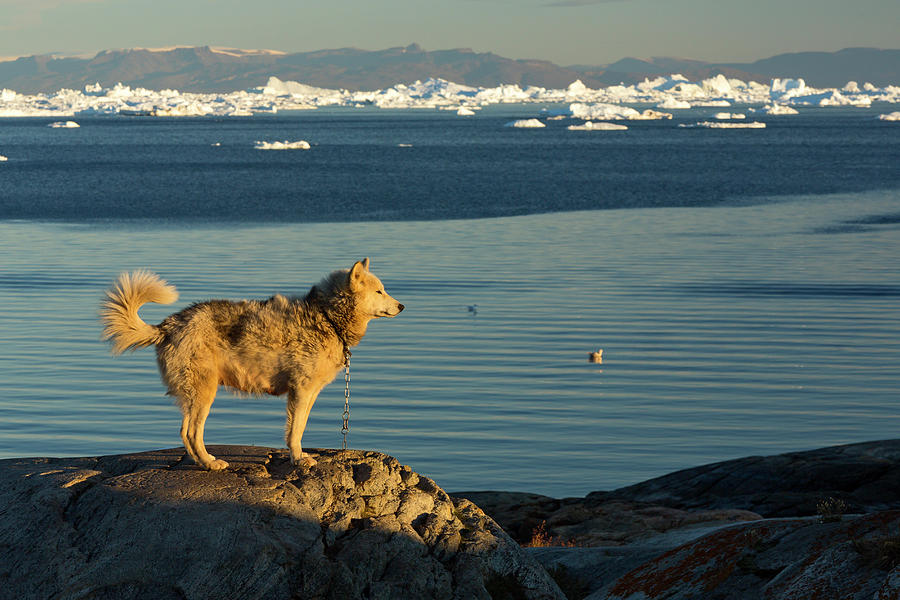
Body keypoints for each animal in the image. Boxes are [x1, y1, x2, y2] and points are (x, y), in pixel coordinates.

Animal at [99, 260, 404, 472]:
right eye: (380, 291)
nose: (401, 306)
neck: (327, 317)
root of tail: (168, 325)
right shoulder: (301, 391)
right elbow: (296, 431)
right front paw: (298, 459)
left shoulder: (308, 393)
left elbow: (298, 427)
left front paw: (299, 456)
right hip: (204, 393)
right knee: (191, 433)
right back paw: (210, 464)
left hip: (195, 394)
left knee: (186, 433)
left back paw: (202, 462)